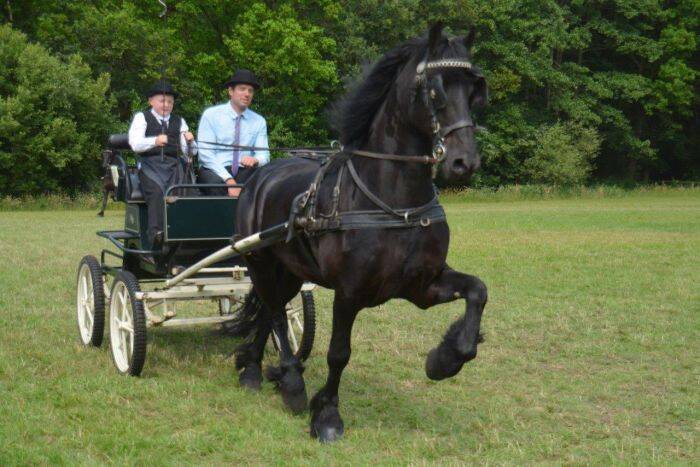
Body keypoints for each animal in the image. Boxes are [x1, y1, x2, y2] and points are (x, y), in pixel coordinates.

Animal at [234, 24, 486, 442]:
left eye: (473, 90)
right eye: (434, 90)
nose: (464, 162)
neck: (394, 205)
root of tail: (260, 176)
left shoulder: (422, 285)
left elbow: (477, 291)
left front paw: (444, 359)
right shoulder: (349, 291)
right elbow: (339, 352)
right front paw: (326, 414)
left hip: (291, 271)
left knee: (270, 310)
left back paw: (255, 369)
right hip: (261, 263)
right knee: (275, 315)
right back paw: (289, 382)